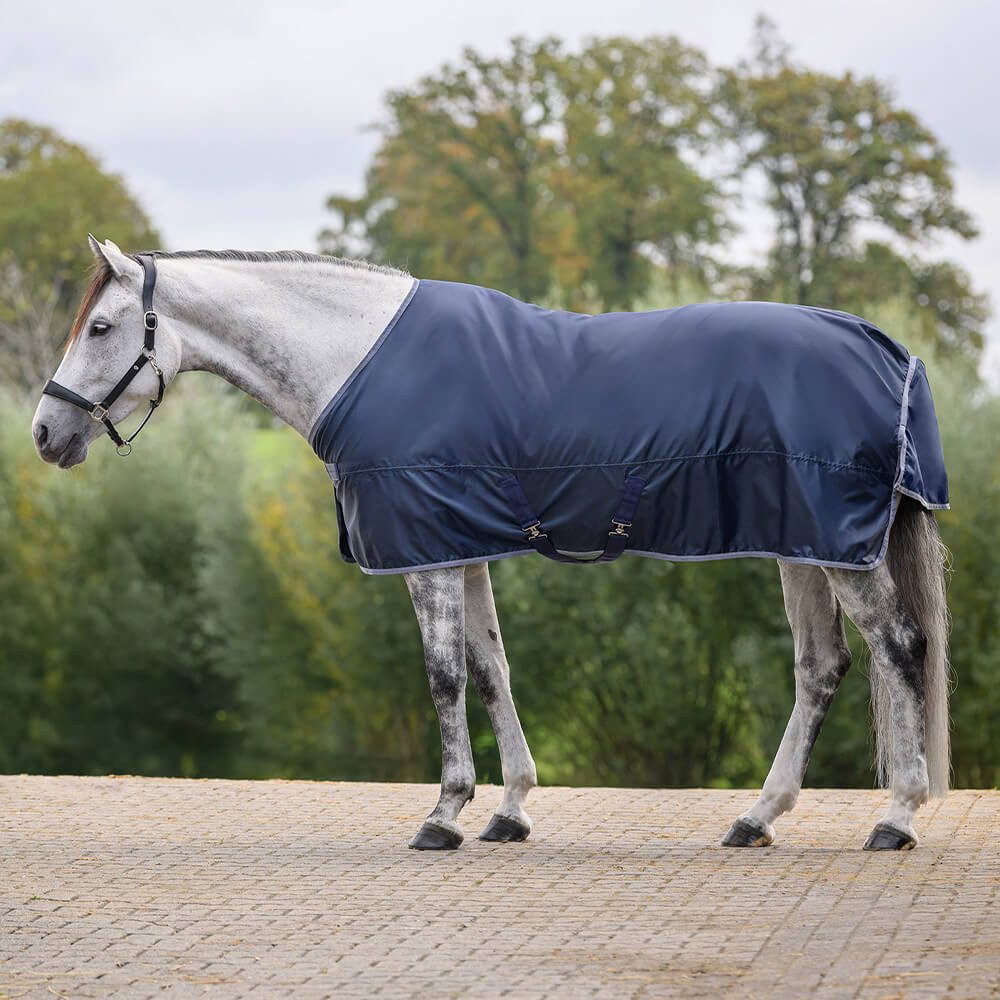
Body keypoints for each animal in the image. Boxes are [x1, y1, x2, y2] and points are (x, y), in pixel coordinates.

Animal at [32, 237, 950, 852]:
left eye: (103, 327)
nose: (45, 432)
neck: (355, 356)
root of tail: (891, 350)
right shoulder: (460, 544)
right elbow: (490, 667)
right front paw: (509, 810)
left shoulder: (429, 554)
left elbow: (443, 675)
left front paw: (444, 814)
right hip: (805, 545)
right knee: (822, 667)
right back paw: (756, 818)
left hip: (838, 548)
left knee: (900, 647)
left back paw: (895, 818)